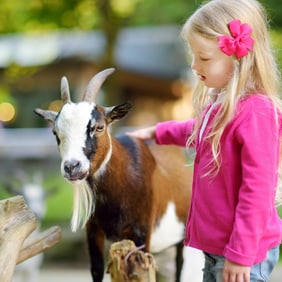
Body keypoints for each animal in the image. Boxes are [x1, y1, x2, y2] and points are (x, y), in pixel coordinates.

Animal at [34, 68, 193, 282]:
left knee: (179, 264)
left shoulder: (142, 232)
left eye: (99, 127)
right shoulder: (93, 231)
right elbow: (96, 270)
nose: (71, 167)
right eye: (55, 132)